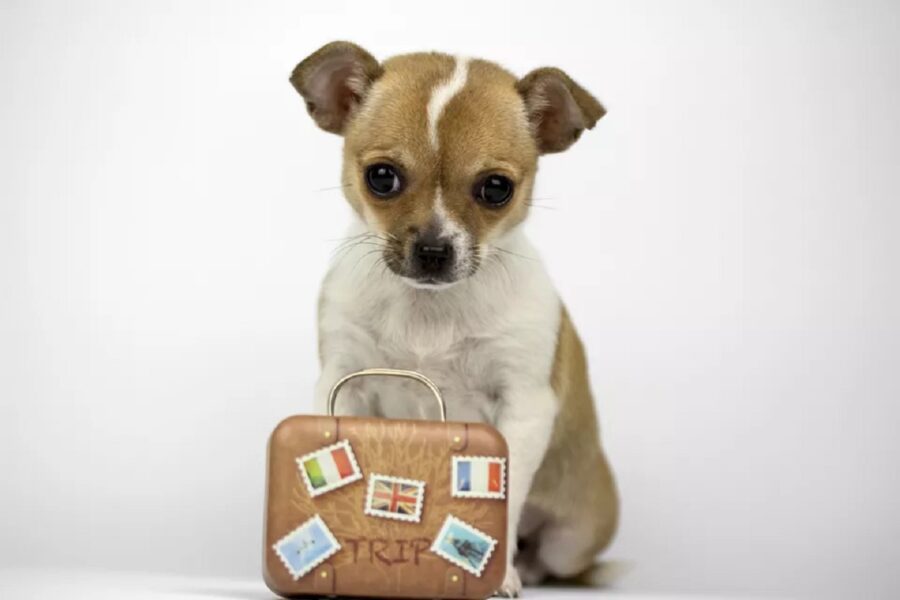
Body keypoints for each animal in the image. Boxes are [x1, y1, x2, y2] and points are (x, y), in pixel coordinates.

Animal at [292, 42, 616, 596]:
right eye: (382, 177)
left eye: (496, 188)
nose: (433, 249)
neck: (429, 308)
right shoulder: (344, 381)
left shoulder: (523, 409)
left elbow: (504, 499)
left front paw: (497, 573)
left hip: (571, 539)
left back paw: (526, 568)